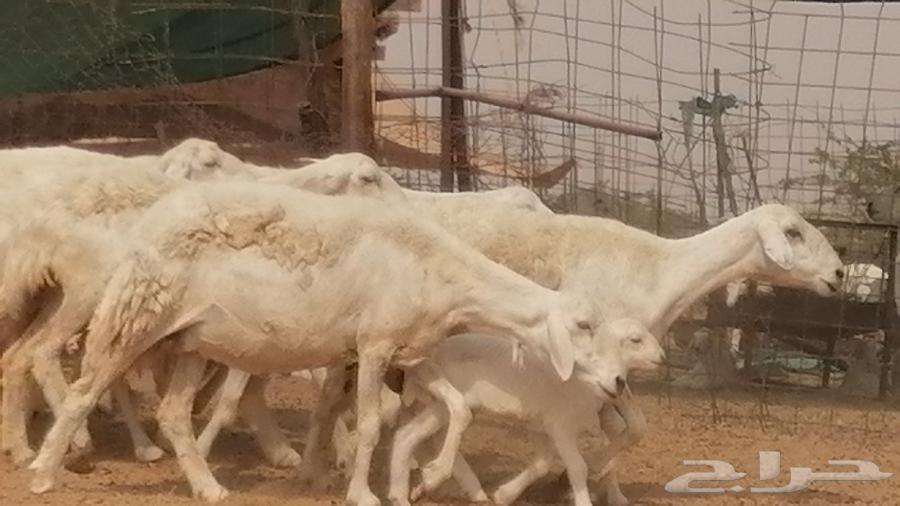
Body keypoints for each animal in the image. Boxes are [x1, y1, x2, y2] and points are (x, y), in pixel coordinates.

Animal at [26, 181, 589, 506]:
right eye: (584, 328)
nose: (608, 385)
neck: (441, 272)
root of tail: (148, 224)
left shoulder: (411, 351)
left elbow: (455, 409)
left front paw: (428, 477)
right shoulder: (376, 342)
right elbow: (368, 423)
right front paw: (363, 492)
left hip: (190, 339)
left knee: (173, 414)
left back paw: (209, 487)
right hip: (138, 311)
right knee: (83, 390)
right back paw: (43, 473)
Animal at [388, 318, 664, 506]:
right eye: (636, 339)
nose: (662, 357)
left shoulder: (540, 425)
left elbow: (542, 464)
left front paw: (504, 494)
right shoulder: (560, 426)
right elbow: (578, 468)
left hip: (438, 405)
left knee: (407, 436)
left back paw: (408, 492)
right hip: (443, 398)